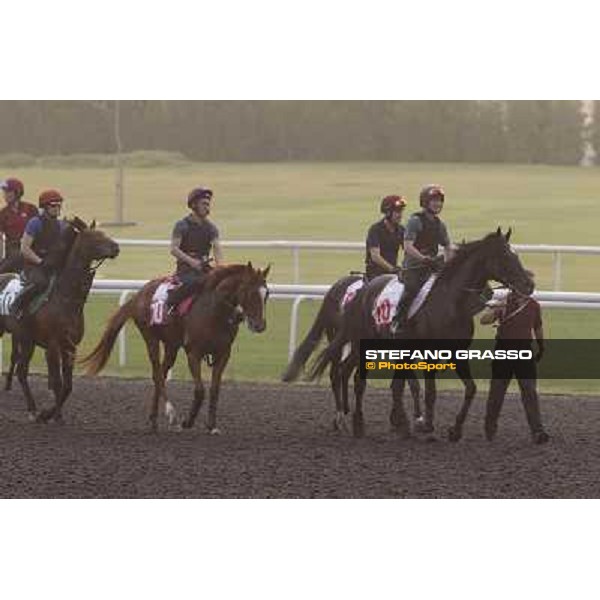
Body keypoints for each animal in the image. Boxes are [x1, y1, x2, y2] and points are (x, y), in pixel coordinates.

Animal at [0, 219, 120, 422]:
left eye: (103, 233)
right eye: (94, 237)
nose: (116, 247)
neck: (66, 298)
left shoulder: (70, 346)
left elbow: (68, 385)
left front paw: (53, 414)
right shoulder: (53, 346)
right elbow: (57, 382)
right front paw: (51, 414)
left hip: (26, 340)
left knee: (22, 372)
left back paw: (32, 408)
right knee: (22, 371)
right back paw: (33, 410)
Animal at [81, 262, 272, 432]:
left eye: (267, 293)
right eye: (249, 292)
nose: (260, 325)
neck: (215, 312)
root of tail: (139, 294)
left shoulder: (223, 354)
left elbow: (215, 390)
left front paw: (212, 425)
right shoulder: (193, 353)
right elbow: (200, 390)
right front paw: (187, 421)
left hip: (171, 345)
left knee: (161, 373)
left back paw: (154, 419)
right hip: (150, 338)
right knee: (157, 374)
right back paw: (171, 414)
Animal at [310, 230, 536, 440]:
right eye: (506, 256)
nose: (529, 284)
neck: (451, 302)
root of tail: (364, 289)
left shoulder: (456, 353)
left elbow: (469, 388)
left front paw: (453, 429)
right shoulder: (427, 353)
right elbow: (426, 390)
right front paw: (422, 424)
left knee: (350, 372)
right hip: (362, 342)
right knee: (352, 376)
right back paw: (355, 423)